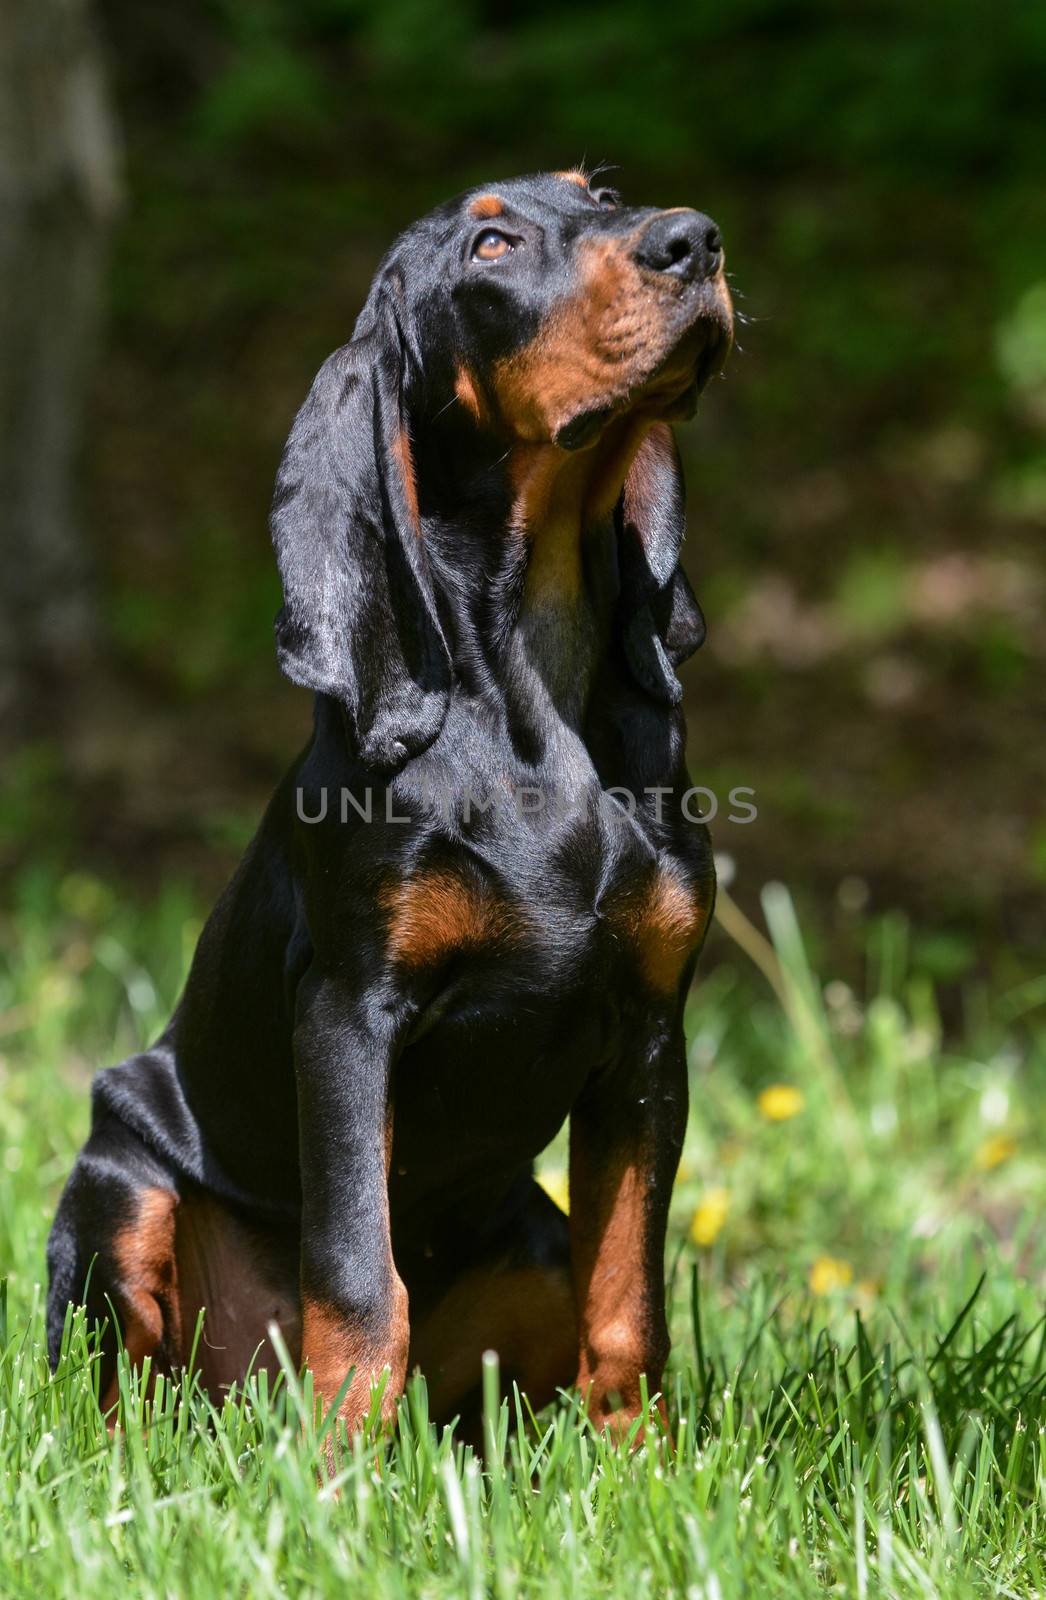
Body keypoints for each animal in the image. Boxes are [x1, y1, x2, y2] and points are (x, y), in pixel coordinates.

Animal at [47, 172, 738, 1440]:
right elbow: (362, 1276)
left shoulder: (648, 1036)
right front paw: (338, 1475)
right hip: (121, 1181)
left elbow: (630, 1301)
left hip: (529, 1240)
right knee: (117, 1393)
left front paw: (642, 1463)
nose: (693, 240)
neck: (533, 674)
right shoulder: (348, 1015)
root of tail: (237, 1392)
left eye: (603, 194)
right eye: (491, 243)